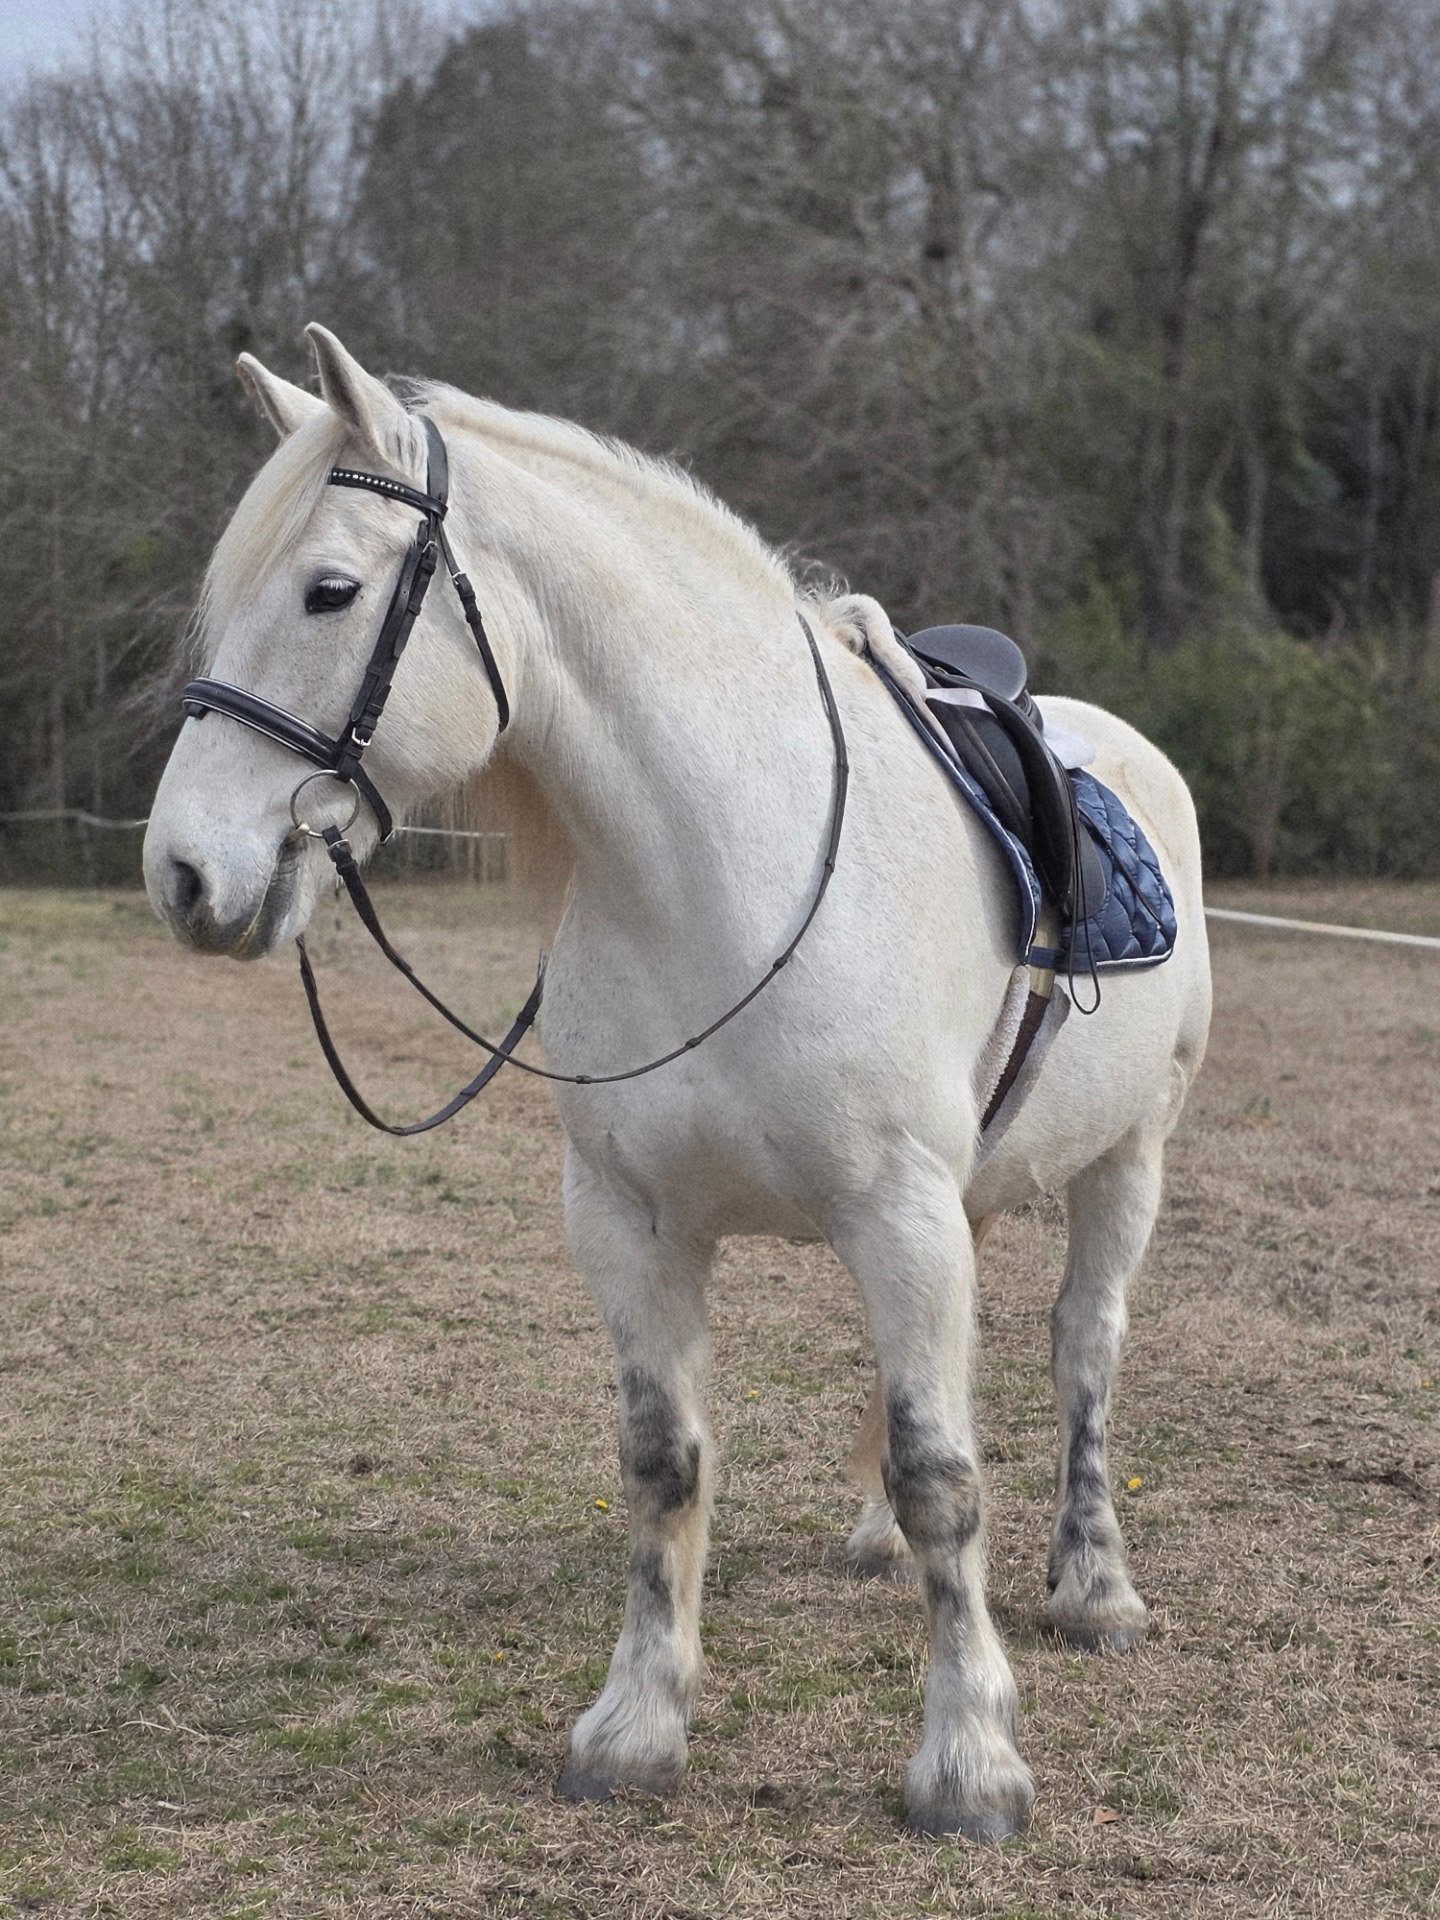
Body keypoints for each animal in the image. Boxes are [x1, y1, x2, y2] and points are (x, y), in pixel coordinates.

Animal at [142, 324, 1211, 1841]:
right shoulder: (631, 1224)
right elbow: (667, 1466)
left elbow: (946, 1477)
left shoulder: (899, 1214)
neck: (720, 874)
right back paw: (876, 1545)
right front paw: (637, 1727)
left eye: (327, 590)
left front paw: (970, 1763)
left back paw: (1097, 1588)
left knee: (1084, 1352)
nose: (182, 875)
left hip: (1129, 1160)